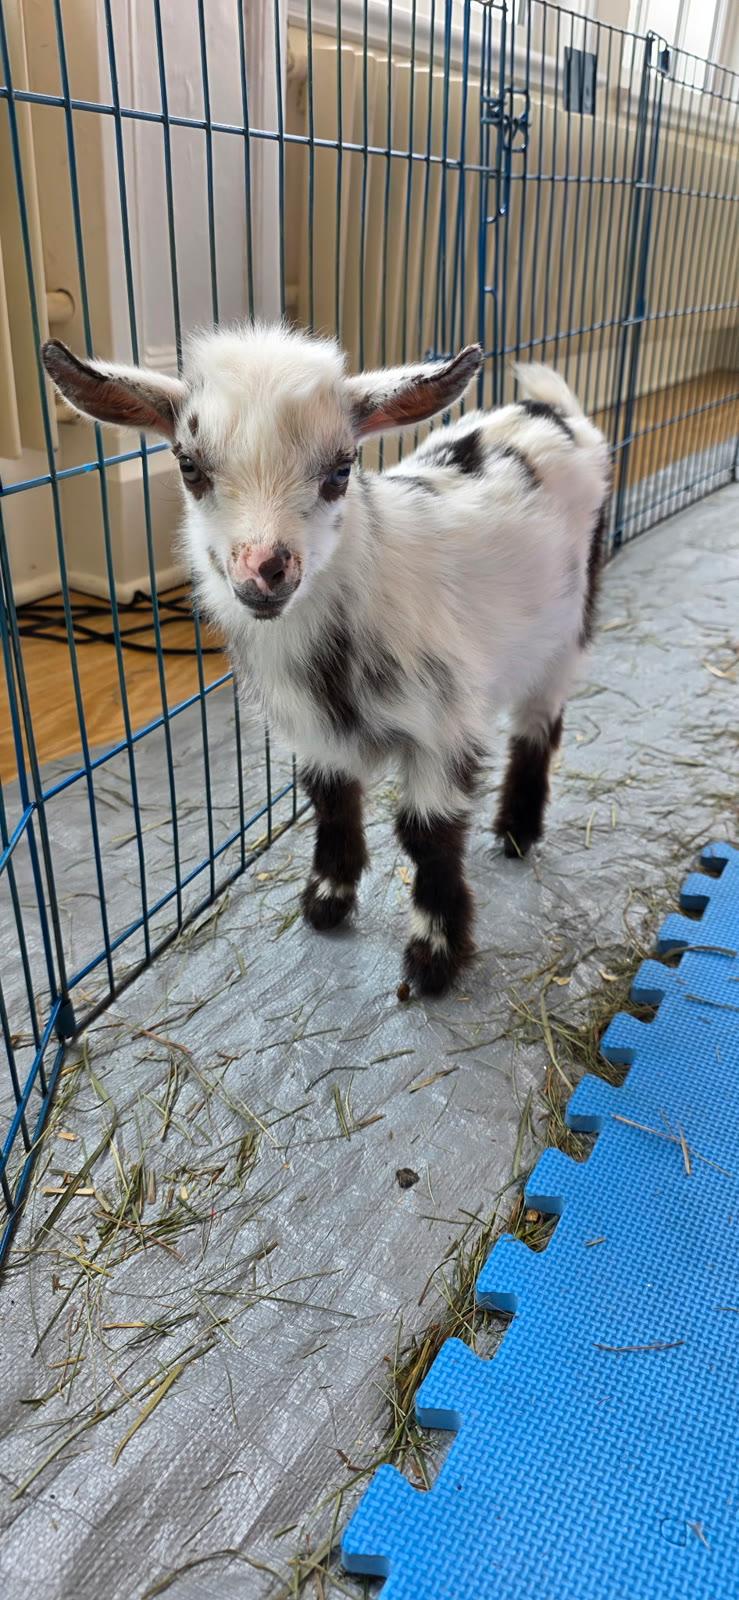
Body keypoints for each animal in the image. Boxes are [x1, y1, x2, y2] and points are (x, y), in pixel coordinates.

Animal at [42, 325, 610, 996]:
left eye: (342, 468)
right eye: (189, 466)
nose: (264, 570)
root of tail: (552, 411)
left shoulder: (443, 727)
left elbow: (428, 835)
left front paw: (434, 956)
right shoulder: (313, 732)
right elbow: (333, 803)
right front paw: (327, 901)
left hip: (566, 627)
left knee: (538, 725)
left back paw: (518, 833)